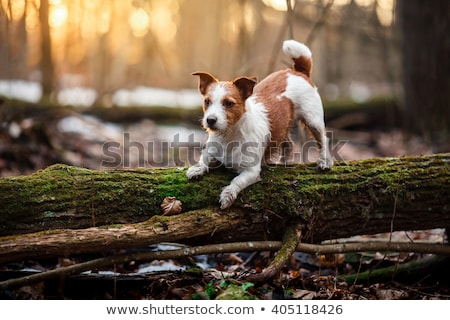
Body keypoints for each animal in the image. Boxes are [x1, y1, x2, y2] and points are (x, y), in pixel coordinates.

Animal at [187, 39, 334, 210]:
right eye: (207, 101)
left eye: (229, 103)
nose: (210, 120)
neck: (229, 135)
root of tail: (298, 72)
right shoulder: (212, 152)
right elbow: (204, 159)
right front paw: (196, 169)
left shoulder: (251, 172)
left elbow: (236, 182)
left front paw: (227, 195)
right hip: (283, 126)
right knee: (288, 144)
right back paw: (283, 162)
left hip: (313, 119)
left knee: (322, 139)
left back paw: (325, 161)